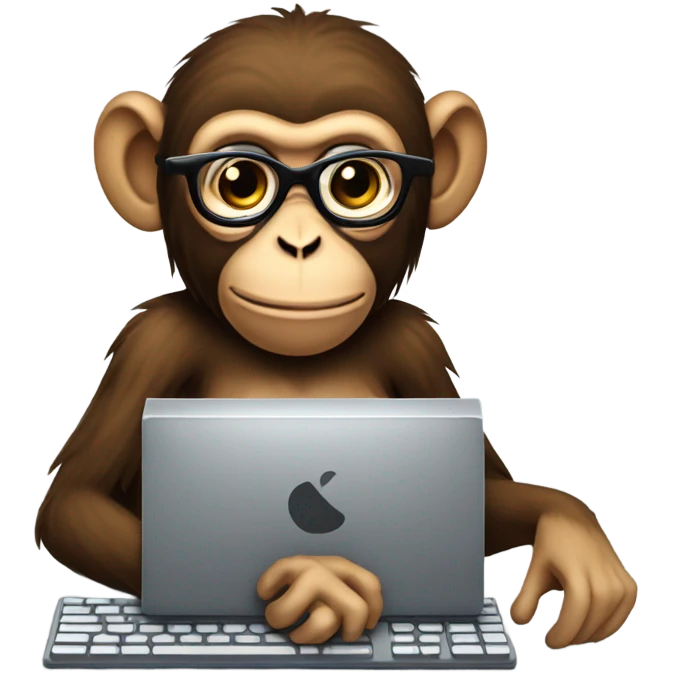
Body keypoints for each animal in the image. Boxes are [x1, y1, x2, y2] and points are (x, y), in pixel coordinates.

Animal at [35, 6, 637, 650]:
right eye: (240, 182)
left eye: (355, 183)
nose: (300, 244)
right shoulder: (155, 345)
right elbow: (74, 501)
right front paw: (314, 579)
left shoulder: (413, 344)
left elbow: (484, 492)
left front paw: (573, 534)